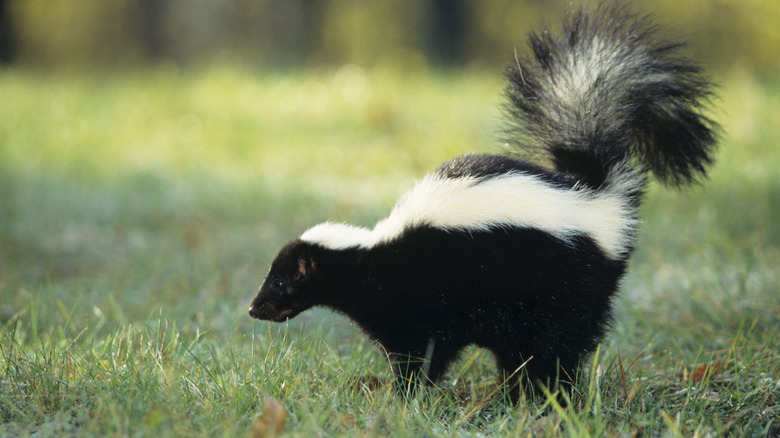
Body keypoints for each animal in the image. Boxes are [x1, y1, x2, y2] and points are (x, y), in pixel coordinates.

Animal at [247, 4, 716, 400]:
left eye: (280, 282)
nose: (254, 308)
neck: (371, 255)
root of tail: (595, 194)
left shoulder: (421, 303)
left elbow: (424, 352)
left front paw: (407, 394)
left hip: (564, 289)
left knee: (560, 346)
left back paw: (551, 396)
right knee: (522, 351)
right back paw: (516, 393)